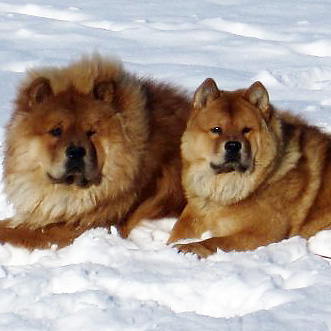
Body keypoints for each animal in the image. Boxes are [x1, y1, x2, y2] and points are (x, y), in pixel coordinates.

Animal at [170, 78, 331, 260]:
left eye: (246, 130)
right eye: (216, 129)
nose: (233, 145)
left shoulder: (263, 232)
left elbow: (216, 241)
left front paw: (189, 247)